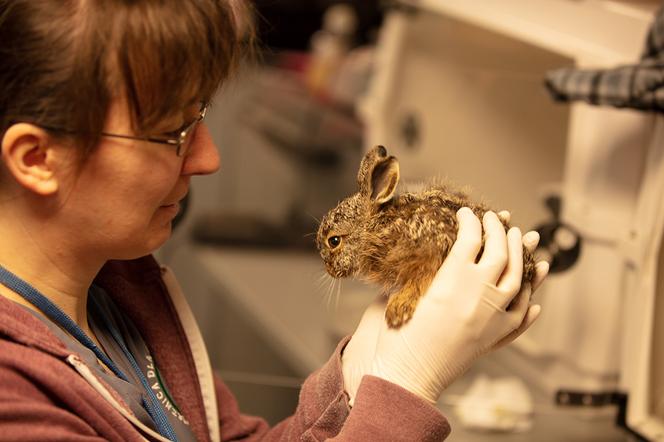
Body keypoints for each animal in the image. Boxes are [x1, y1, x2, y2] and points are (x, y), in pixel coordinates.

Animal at [314, 145, 536, 328]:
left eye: (333, 241)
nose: (329, 270)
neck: (377, 227)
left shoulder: (432, 244)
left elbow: (421, 278)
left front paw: (397, 310)